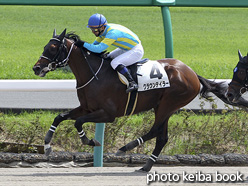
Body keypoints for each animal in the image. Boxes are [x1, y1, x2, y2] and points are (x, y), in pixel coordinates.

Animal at [33, 28, 234, 171]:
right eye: (44, 47)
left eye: (53, 48)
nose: (36, 68)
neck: (95, 74)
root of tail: (191, 73)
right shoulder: (87, 108)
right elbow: (60, 116)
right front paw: (47, 144)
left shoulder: (108, 114)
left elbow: (78, 122)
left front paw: (90, 141)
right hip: (164, 106)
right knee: (162, 137)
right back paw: (145, 166)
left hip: (168, 104)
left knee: (155, 131)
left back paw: (125, 148)